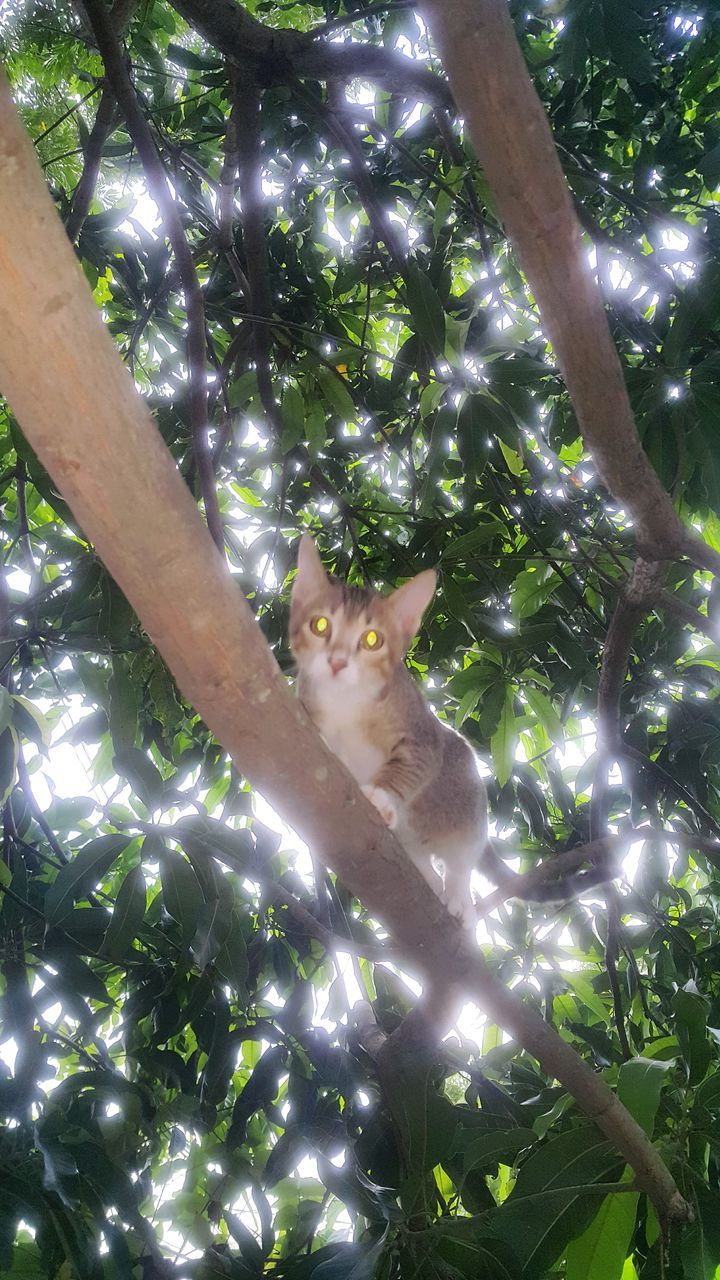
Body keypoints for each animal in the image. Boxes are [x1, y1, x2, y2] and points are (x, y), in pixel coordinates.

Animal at [288, 535, 484, 926]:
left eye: (372, 640)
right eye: (320, 625)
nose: (337, 661)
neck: (347, 701)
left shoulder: (422, 734)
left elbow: (411, 765)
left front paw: (382, 794)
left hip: (466, 796)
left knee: (461, 859)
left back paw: (457, 895)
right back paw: (429, 876)